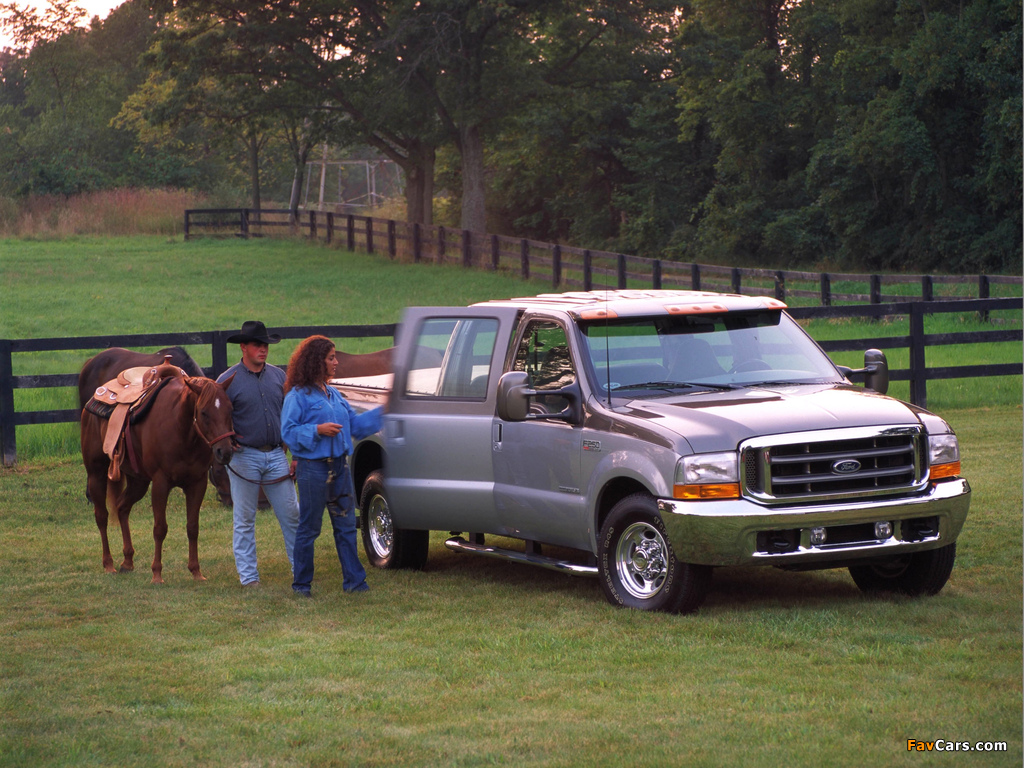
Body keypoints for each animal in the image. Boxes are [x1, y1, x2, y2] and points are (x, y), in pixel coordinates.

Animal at [79, 374, 235, 581]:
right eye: (203, 413)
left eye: (230, 409)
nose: (225, 452)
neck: (182, 430)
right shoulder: (161, 483)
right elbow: (160, 528)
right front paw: (157, 574)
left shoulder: (197, 483)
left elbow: (193, 527)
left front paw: (196, 571)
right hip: (96, 474)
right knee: (102, 516)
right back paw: (109, 564)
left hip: (138, 481)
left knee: (122, 507)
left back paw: (127, 561)